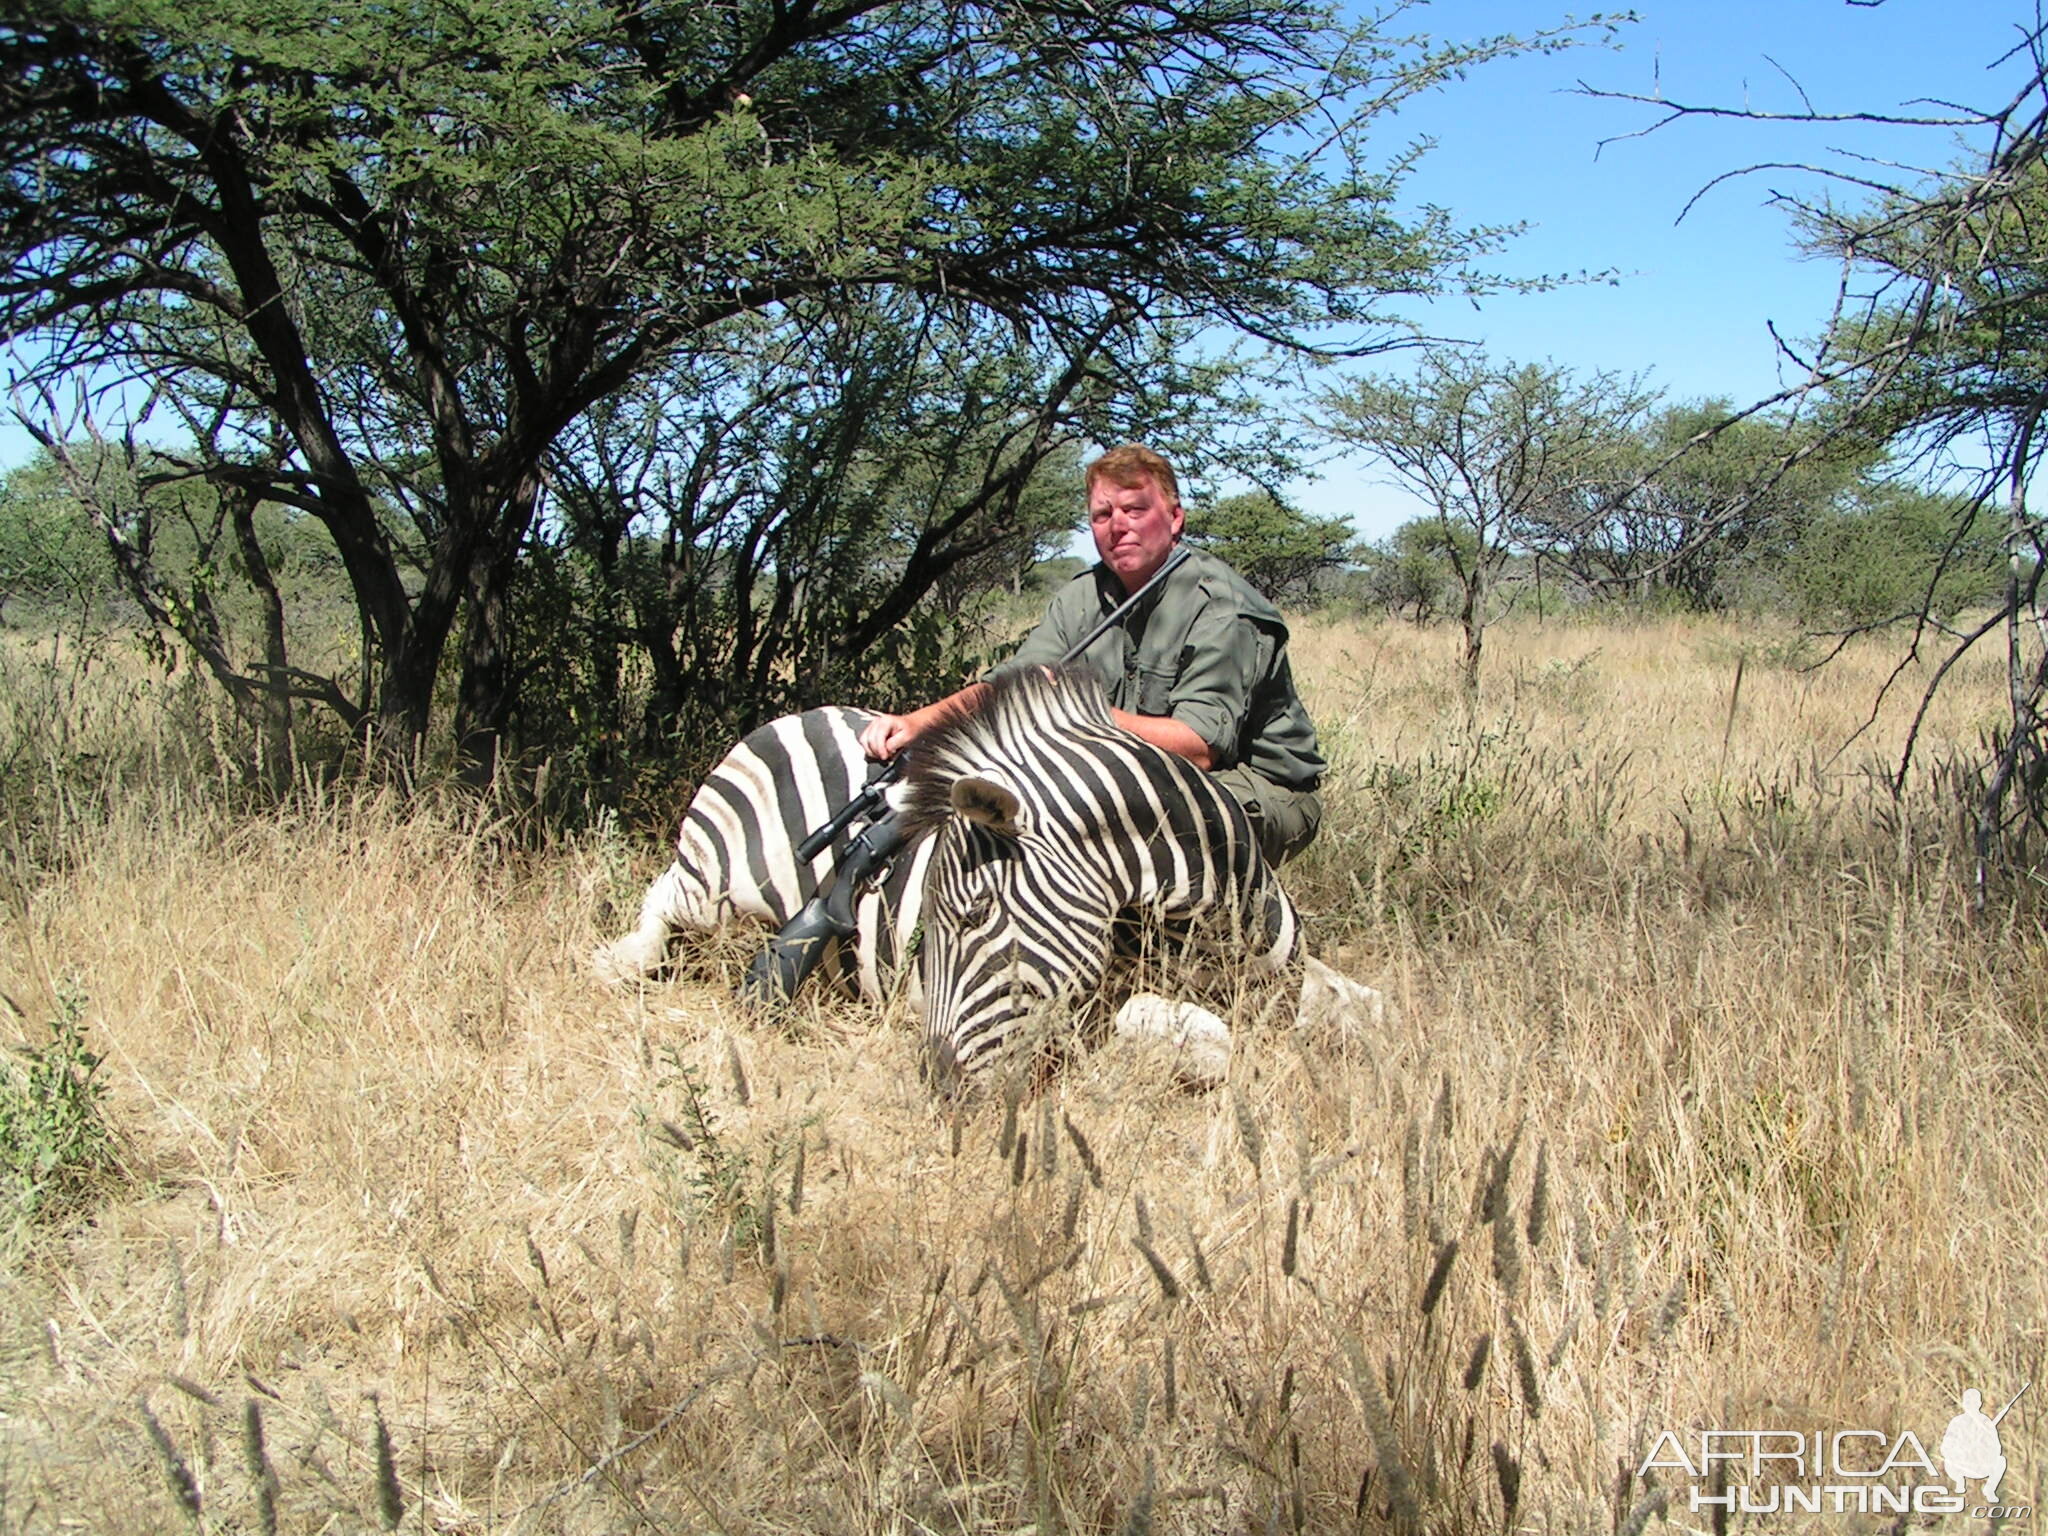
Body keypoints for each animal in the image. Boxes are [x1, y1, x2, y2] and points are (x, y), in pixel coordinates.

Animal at [598, 667, 1384, 1089]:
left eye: (975, 917)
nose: (938, 1083)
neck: (1216, 919)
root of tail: (795, 713)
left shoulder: (1292, 975)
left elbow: (1366, 1008)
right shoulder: (1088, 1009)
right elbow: (1204, 1041)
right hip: (718, 885)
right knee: (662, 898)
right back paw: (620, 960)